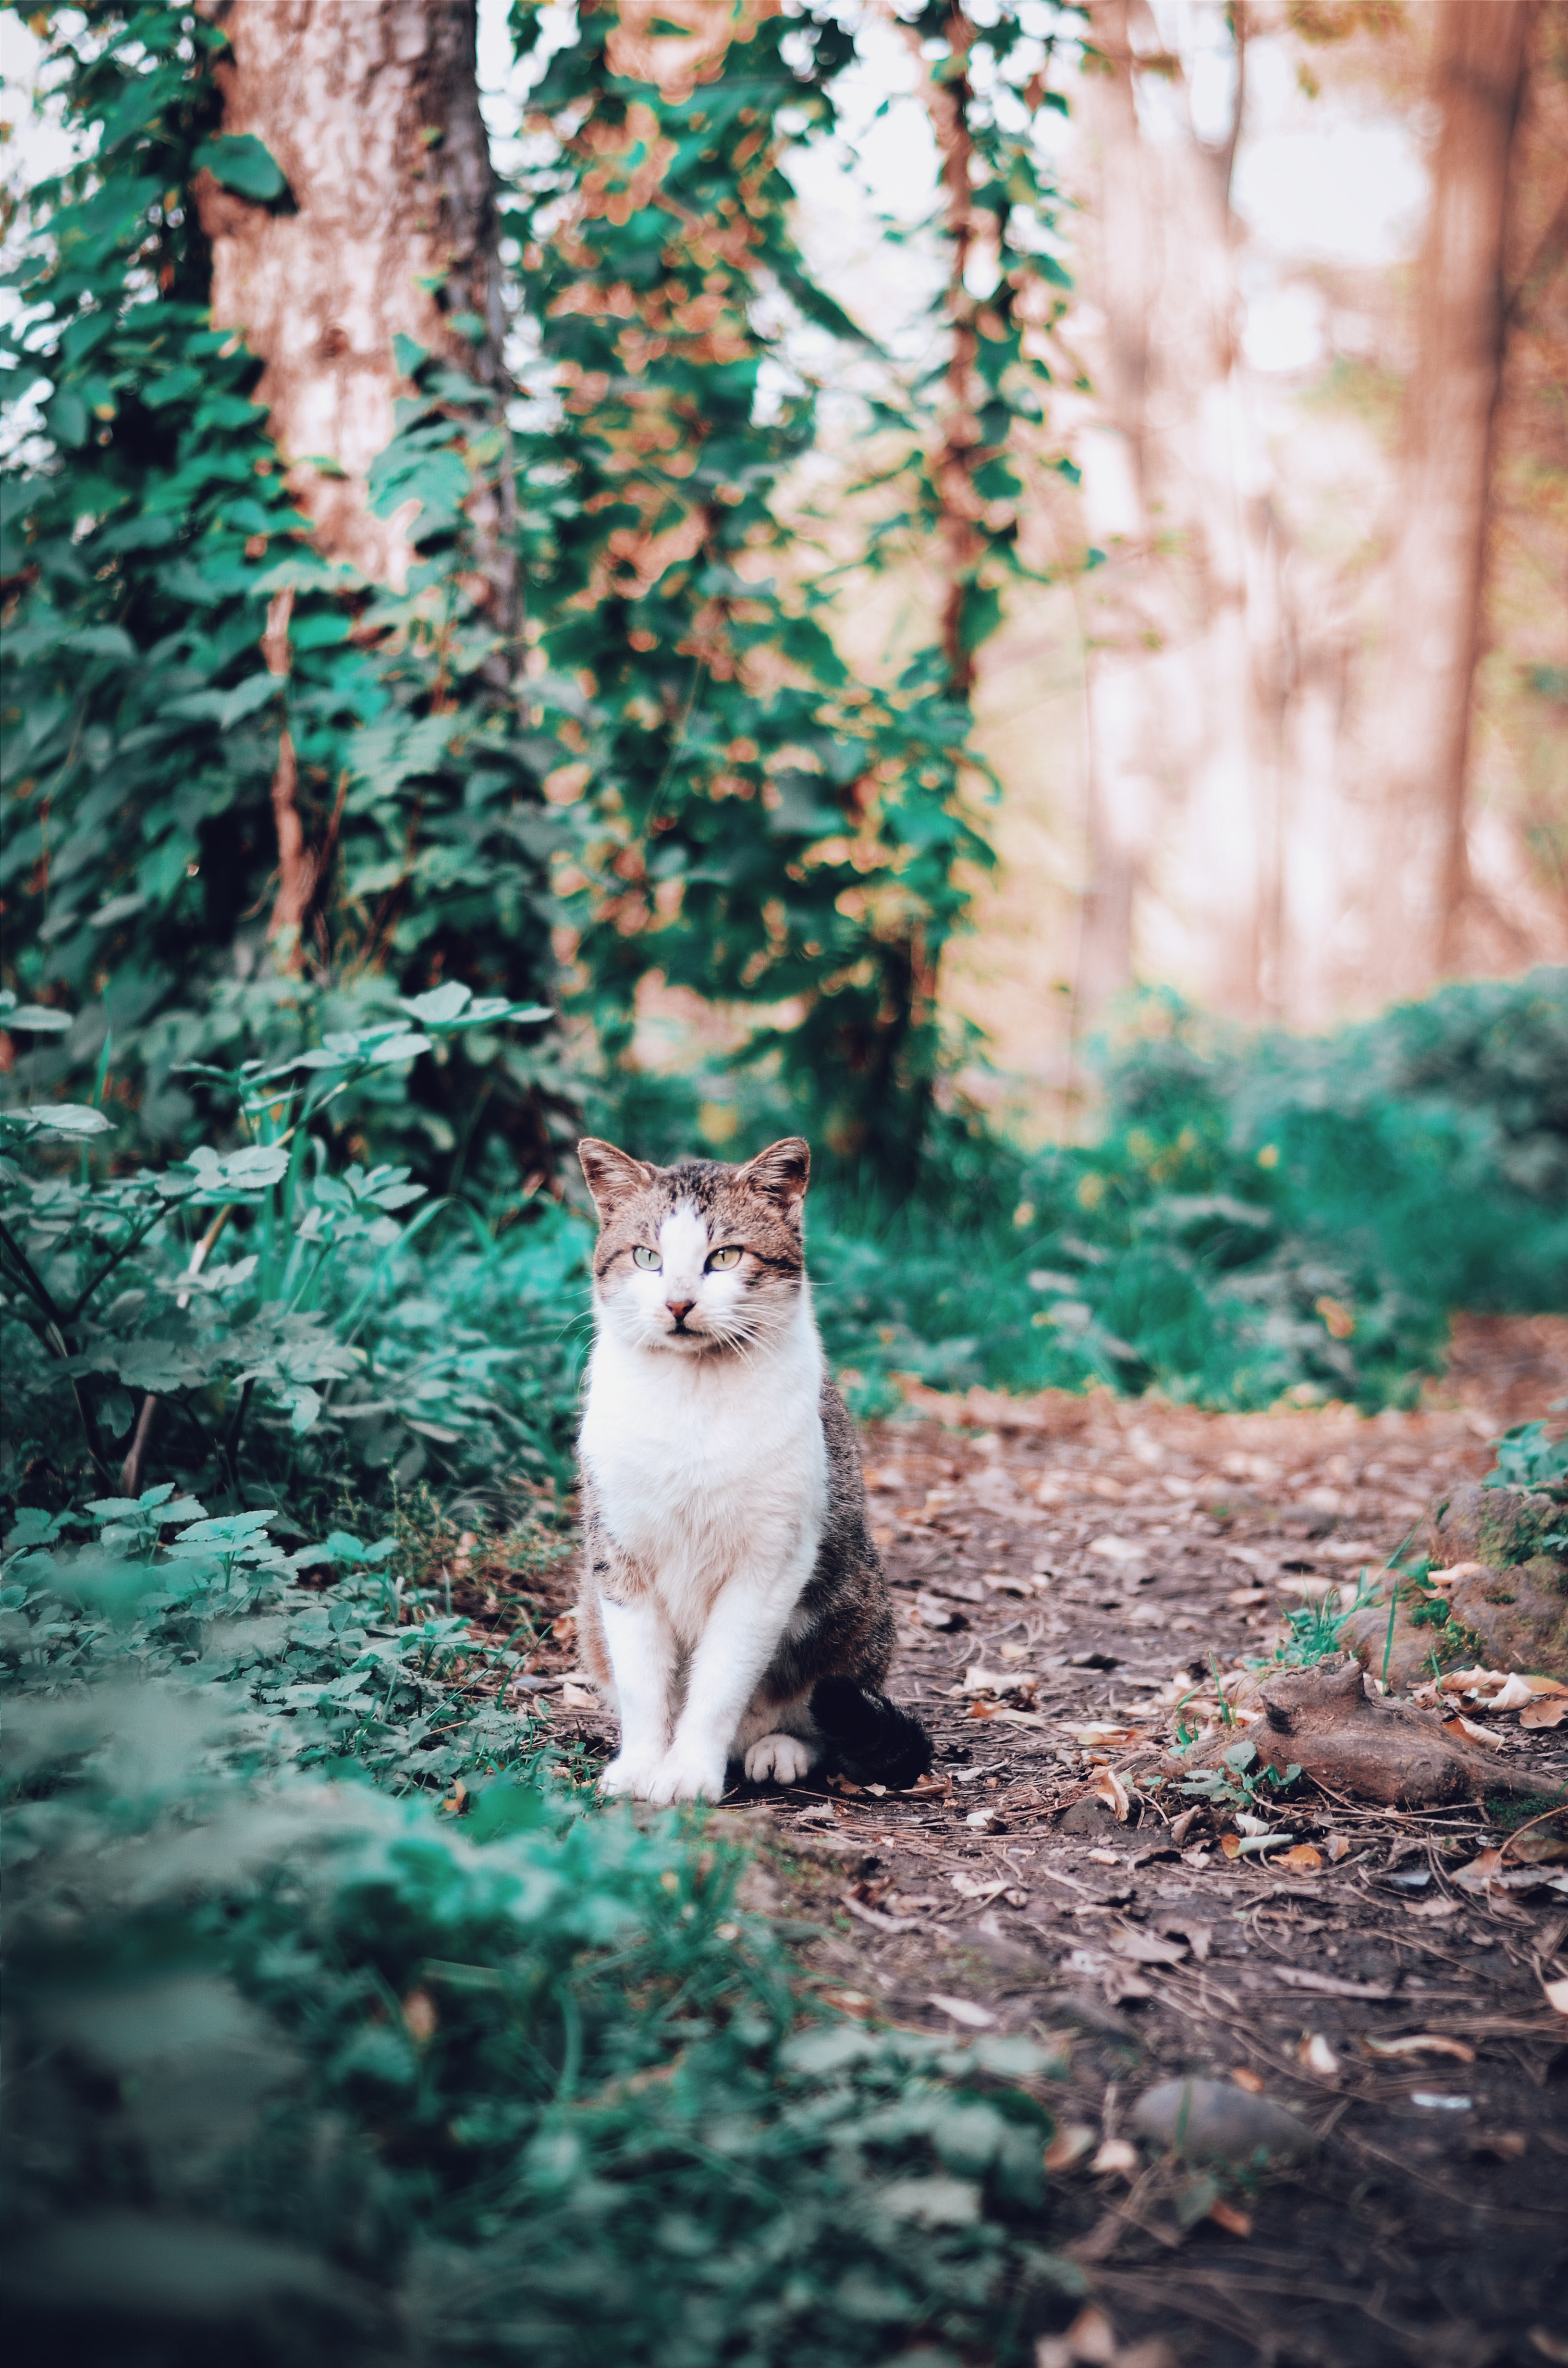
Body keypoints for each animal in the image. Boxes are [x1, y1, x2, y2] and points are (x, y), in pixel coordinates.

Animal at [576, 1136, 933, 1800]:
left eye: (725, 1256)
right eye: (646, 1257)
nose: (678, 1302)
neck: (691, 1398)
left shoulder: (768, 1562)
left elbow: (719, 1683)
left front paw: (688, 1772)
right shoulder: (619, 1557)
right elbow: (643, 1683)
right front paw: (643, 1764)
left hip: (856, 1608)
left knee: (820, 1710)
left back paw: (778, 1749)